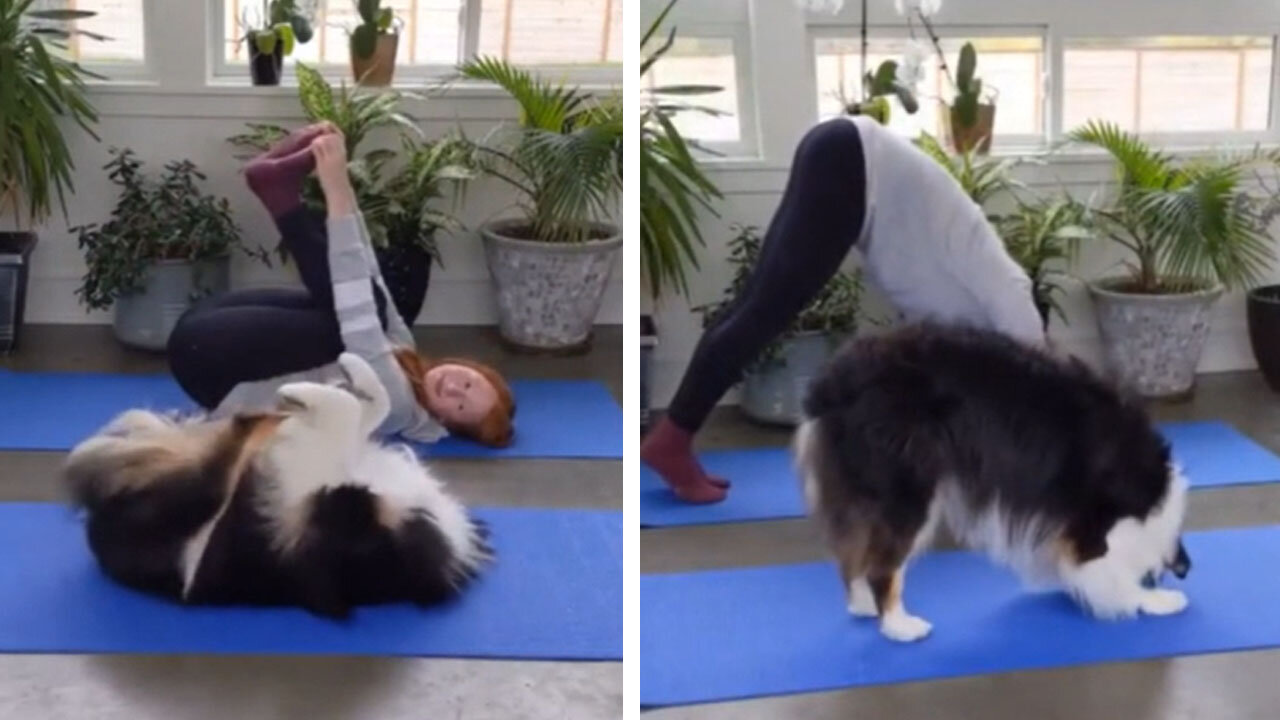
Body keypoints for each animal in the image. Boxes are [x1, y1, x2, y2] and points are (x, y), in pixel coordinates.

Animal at [60, 351, 491, 617]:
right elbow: (372, 404)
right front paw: (350, 370)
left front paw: (301, 392)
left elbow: (348, 410)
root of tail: (98, 532)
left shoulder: (327, 495)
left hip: (195, 491)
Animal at [793, 322, 1192, 640]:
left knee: (855, 550)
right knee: (883, 565)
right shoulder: (1091, 523)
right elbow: (1107, 570)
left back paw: (863, 605)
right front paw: (1154, 600)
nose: (1183, 572)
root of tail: (833, 380)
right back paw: (899, 626)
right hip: (908, 489)